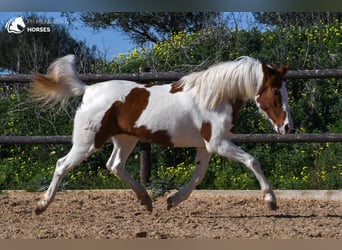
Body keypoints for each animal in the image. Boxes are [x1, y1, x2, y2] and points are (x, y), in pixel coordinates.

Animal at [31, 54, 292, 215]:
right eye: (276, 91)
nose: (288, 128)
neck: (213, 98)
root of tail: (88, 90)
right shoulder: (219, 144)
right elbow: (252, 161)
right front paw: (271, 201)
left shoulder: (206, 147)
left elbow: (198, 177)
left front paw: (172, 200)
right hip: (87, 142)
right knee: (62, 165)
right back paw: (42, 205)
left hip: (126, 140)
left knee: (114, 165)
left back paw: (146, 200)